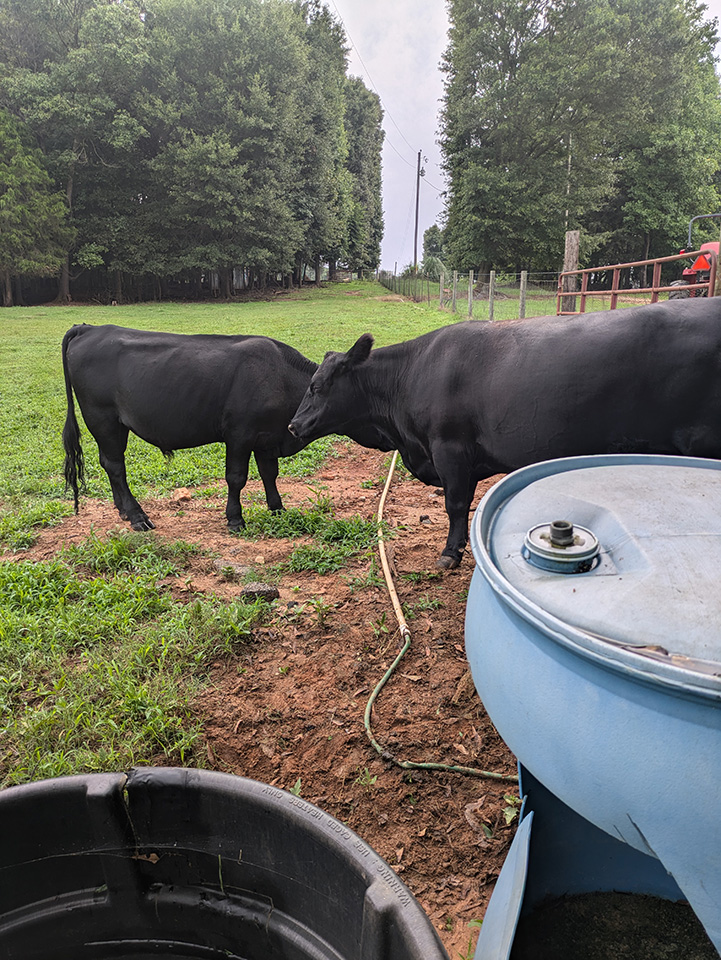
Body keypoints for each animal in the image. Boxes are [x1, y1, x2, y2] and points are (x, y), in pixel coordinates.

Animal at [62, 324, 317, 531]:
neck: (281, 377)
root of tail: (90, 328)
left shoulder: (266, 438)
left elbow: (269, 474)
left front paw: (278, 510)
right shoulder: (239, 435)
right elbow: (236, 477)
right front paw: (235, 519)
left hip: (114, 424)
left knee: (108, 462)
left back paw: (124, 511)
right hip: (101, 417)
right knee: (115, 466)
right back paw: (137, 516)